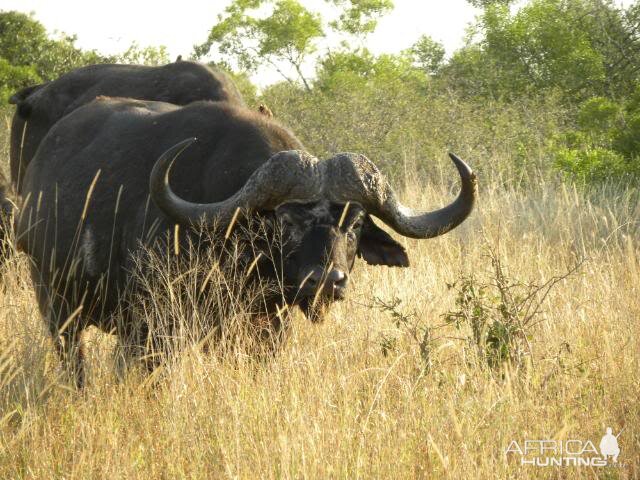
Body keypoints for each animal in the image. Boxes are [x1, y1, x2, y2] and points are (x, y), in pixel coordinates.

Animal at [16, 96, 476, 386]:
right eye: (286, 219)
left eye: (357, 221)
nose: (327, 281)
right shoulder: (152, 327)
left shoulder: (265, 329)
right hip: (56, 305)